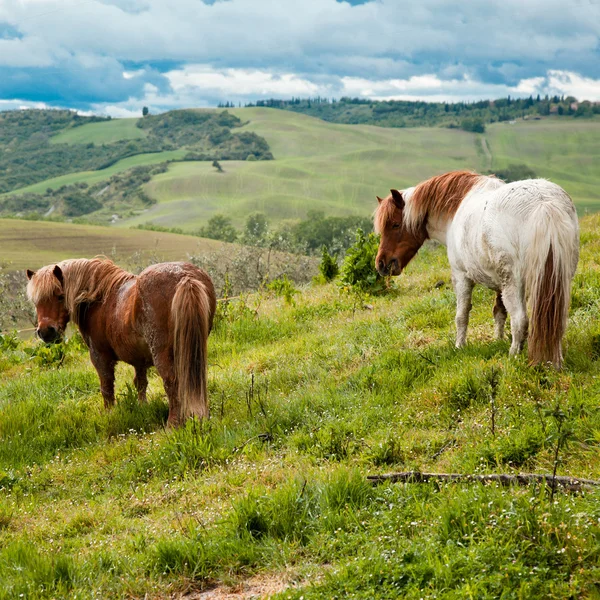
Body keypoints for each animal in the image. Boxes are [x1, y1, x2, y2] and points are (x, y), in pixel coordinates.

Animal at [27, 260, 218, 424]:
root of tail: (186, 277)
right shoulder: (139, 360)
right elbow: (140, 383)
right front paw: (143, 407)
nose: (45, 331)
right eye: (36, 301)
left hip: (162, 353)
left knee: (172, 382)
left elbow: (106, 387)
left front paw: (109, 413)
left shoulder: (99, 356)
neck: (98, 297)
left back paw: (173, 425)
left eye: (60, 296)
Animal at [378, 171, 580, 368]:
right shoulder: (499, 285)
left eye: (395, 224)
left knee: (520, 320)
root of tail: (543, 204)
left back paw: (513, 356)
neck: (456, 210)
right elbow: (499, 312)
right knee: (557, 320)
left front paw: (459, 346)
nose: (381, 263)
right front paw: (498, 340)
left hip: (514, 284)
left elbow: (462, 315)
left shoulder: (461, 276)